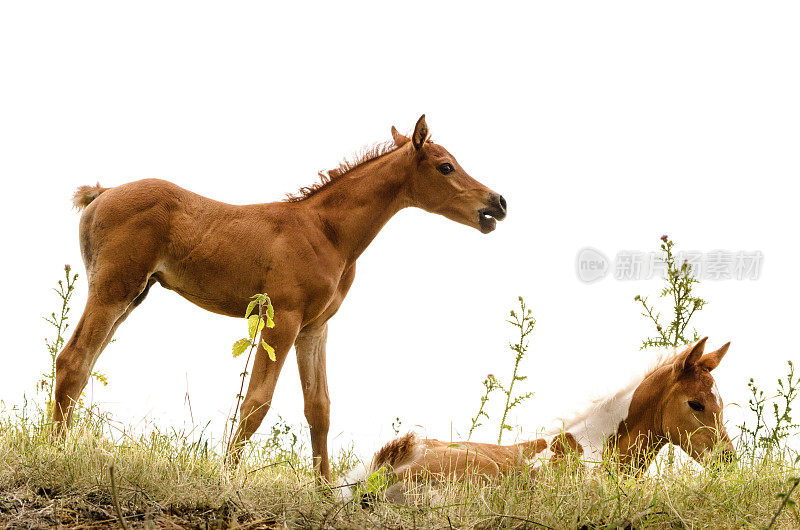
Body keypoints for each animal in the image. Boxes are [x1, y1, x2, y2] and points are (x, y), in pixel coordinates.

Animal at [54, 115, 506, 478]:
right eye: (446, 166)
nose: (498, 203)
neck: (327, 232)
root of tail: (102, 192)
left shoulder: (314, 328)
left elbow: (319, 408)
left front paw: (323, 490)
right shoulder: (283, 318)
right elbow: (257, 401)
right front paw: (227, 476)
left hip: (132, 296)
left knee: (83, 362)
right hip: (114, 289)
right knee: (73, 359)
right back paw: (54, 449)